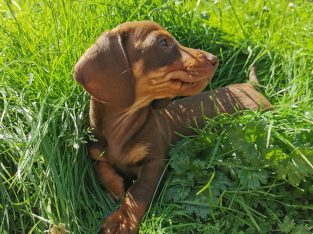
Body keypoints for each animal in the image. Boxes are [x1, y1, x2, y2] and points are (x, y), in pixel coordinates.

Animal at [73, 21, 270, 233]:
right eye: (162, 42)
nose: (215, 59)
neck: (121, 126)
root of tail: (248, 86)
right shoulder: (96, 156)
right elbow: (105, 173)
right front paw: (116, 191)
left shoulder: (156, 162)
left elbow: (137, 193)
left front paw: (122, 221)